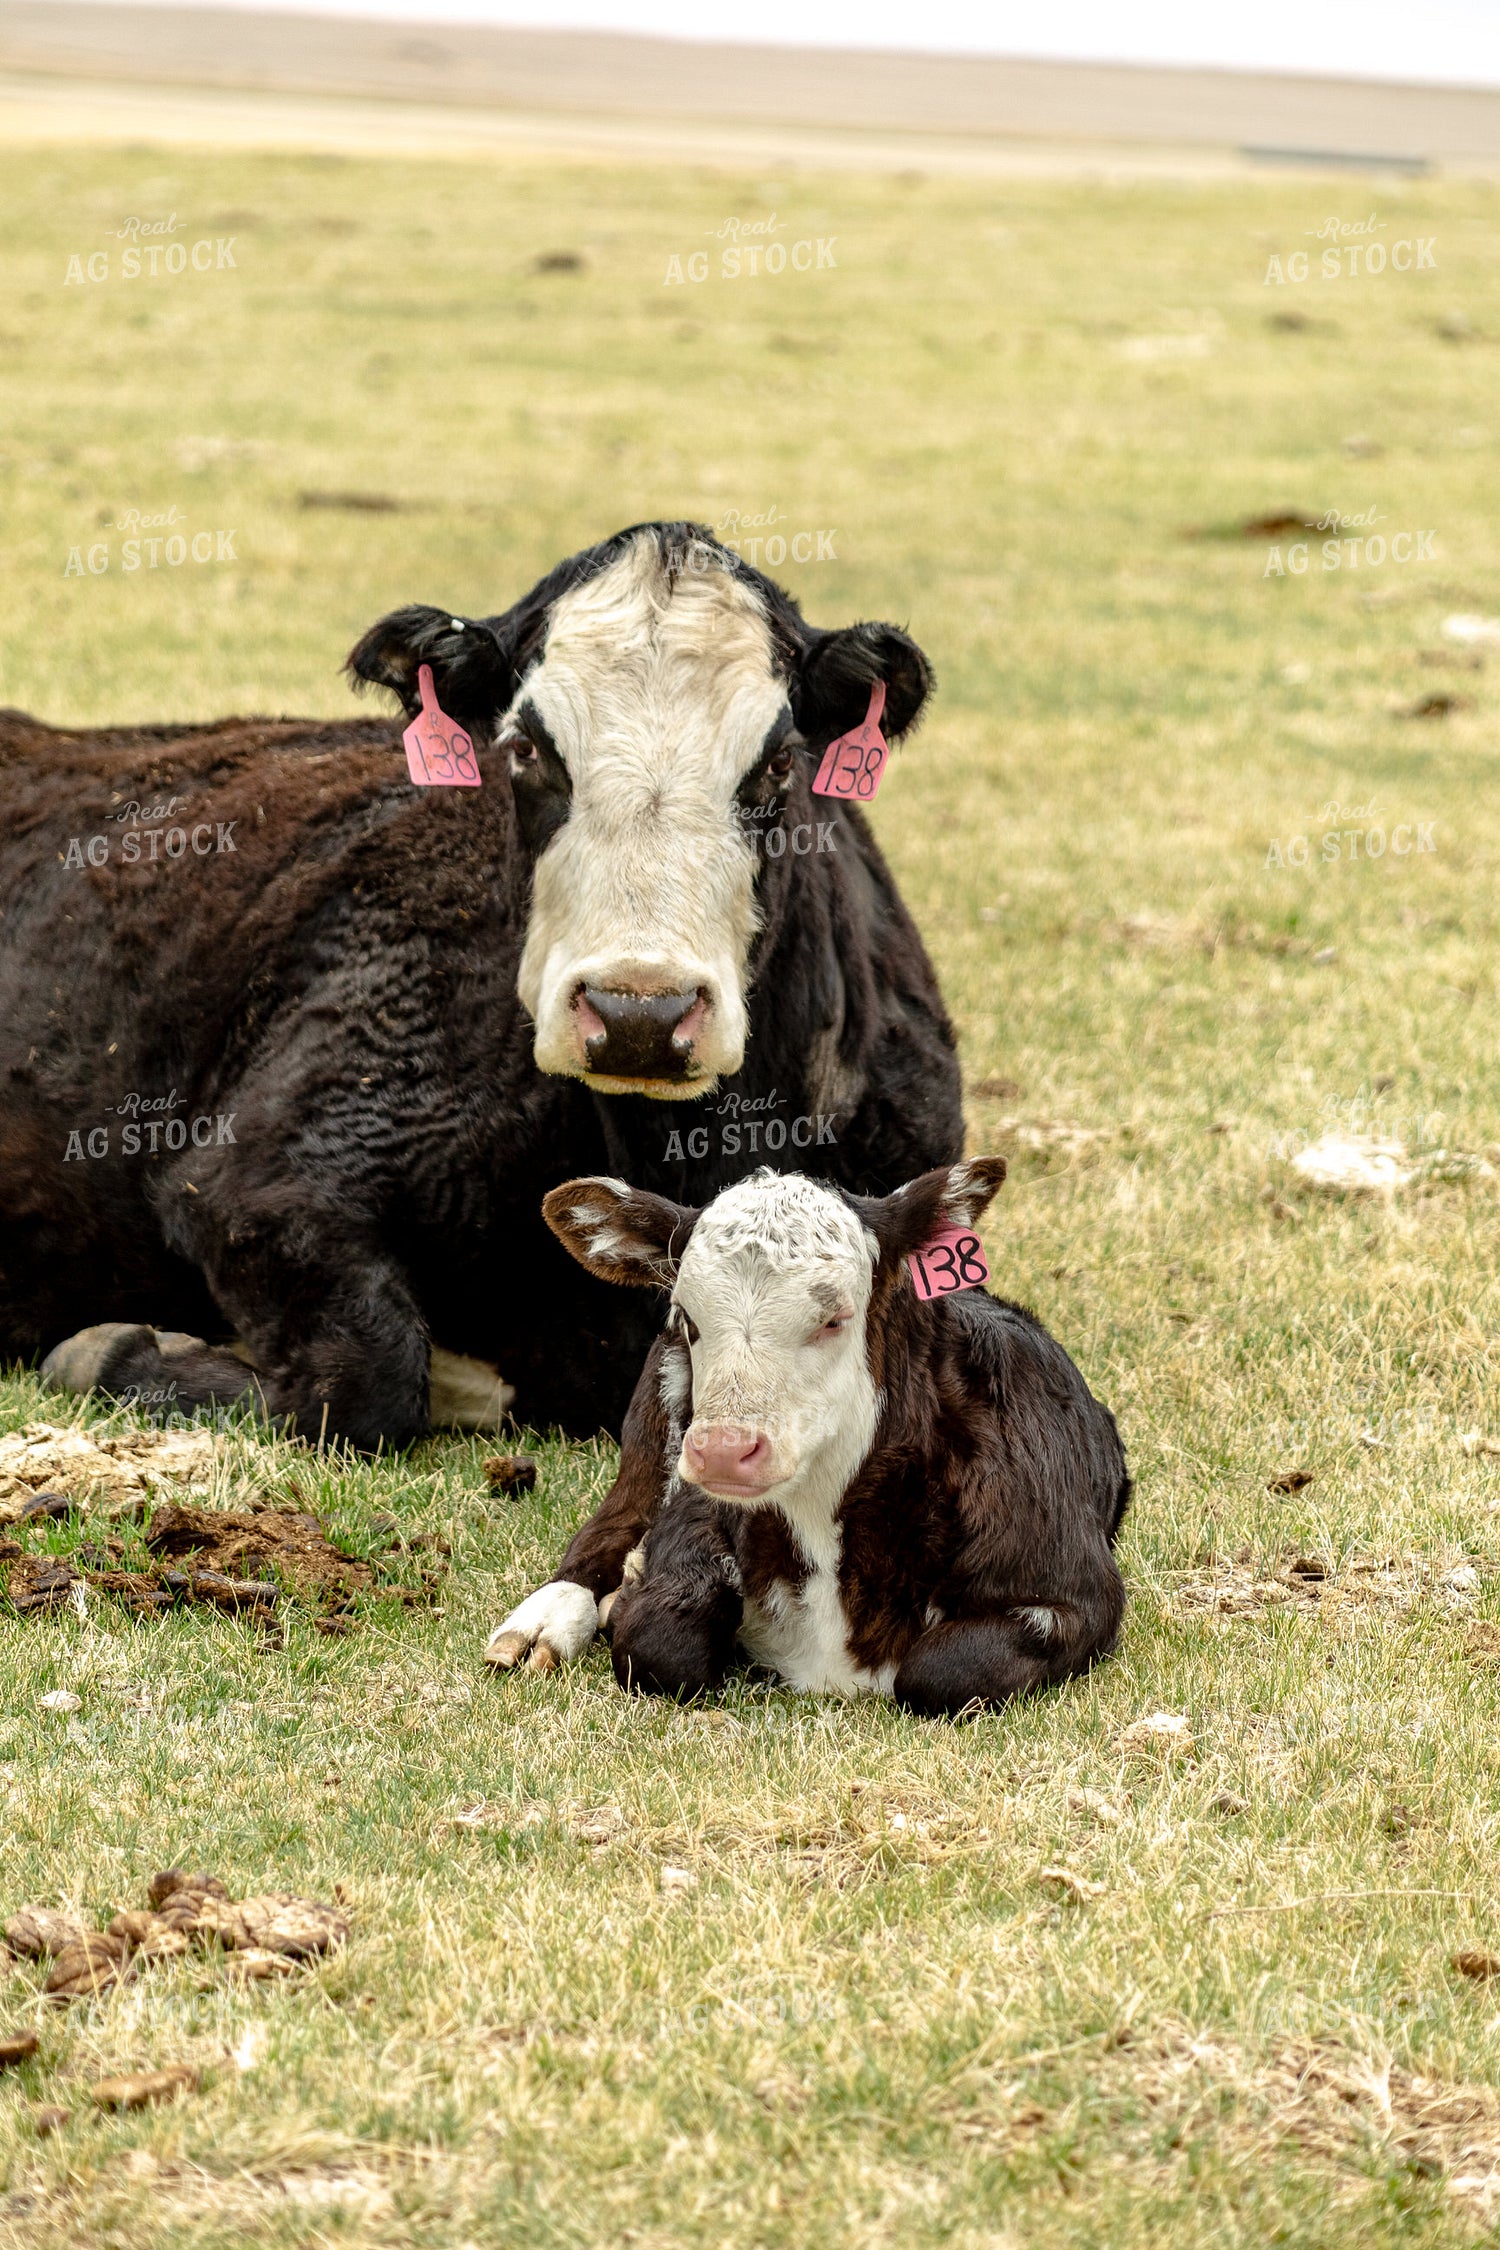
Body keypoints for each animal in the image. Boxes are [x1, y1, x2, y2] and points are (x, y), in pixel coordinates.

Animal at [0, 523, 963, 1449]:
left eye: (778, 763)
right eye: (527, 749)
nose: (639, 1013)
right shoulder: (259, 1175)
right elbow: (371, 1380)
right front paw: (112, 1351)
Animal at [484, 1160, 1130, 1716]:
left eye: (834, 1319)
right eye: (687, 1316)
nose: (723, 1451)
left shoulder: (1075, 1590)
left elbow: (943, 1672)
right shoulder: (689, 1517)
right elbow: (659, 1646)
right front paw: (628, 1597)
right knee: (610, 1525)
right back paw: (540, 1624)